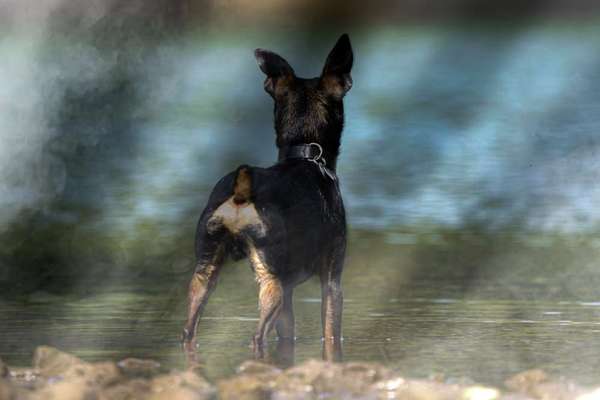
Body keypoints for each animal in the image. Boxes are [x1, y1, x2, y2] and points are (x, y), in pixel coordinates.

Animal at [180, 34, 354, 360]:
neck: (305, 153)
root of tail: (240, 194)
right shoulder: (332, 279)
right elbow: (331, 334)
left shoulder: (290, 288)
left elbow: (289, 334)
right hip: (271, 283)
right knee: (257, 336)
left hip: (205, 273)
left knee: (188, 330)